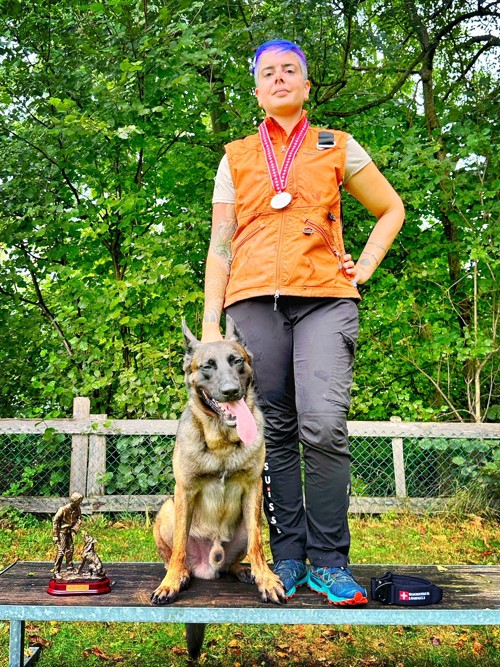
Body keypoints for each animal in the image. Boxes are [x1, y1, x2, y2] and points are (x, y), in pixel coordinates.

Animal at [150, 318, 286, 612]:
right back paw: (181, 573)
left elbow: (258, 544)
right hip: (167, 510)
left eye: (237, 361)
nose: (231, 391)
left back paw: (244, 570)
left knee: (236, 558)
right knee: (173, 555)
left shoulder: (254, 488)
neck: (222, 442)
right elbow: (179, 544)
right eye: (207, 366)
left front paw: (266, 579)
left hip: (246, 520)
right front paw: (170, 583)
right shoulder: (184, 491)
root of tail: (207, 566)